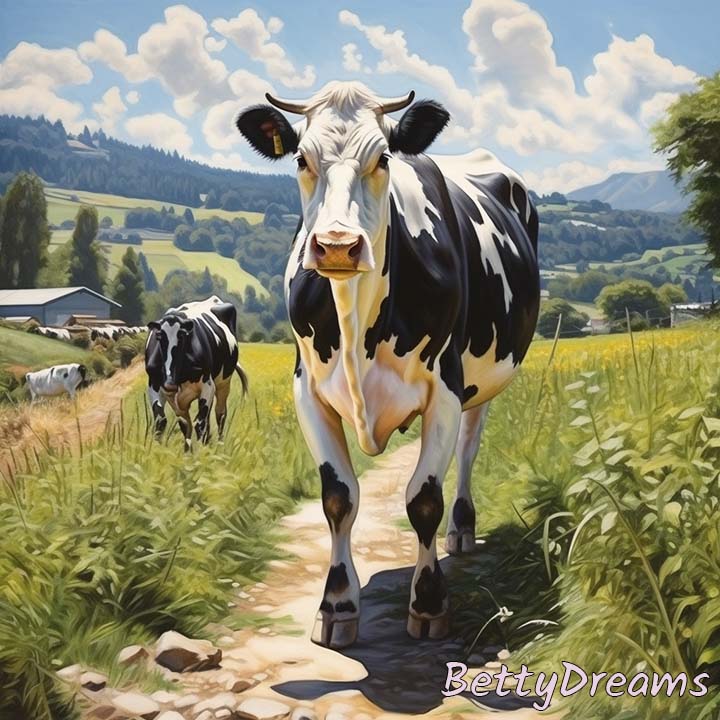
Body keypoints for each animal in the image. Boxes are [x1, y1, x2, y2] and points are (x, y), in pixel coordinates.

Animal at [144, 296, 248, 451]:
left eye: (182, 336)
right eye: (159, 336)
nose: (170, 384)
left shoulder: (207, 385)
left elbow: (199, 423)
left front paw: (200, 453)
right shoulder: (154, 385)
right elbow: (163, 421)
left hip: (223, 382)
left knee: (220, 414)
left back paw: (219, 445)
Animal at [236, 81, 540, 649]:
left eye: (382, 158)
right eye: (301, 159)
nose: (337, 246)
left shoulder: (445, 389)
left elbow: (423, 499)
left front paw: (429, 603)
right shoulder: (307, 390)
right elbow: (338, 498)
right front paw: (337, 605)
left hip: (482, 382)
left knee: (468, 450)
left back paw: (462, 530)